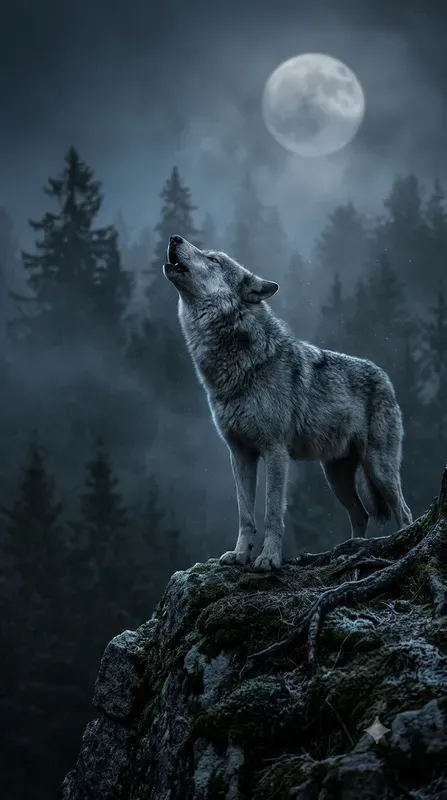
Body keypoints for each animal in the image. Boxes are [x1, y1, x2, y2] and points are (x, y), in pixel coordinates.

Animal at [163, 234, 413, 572]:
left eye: (214, 259)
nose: (174, 237)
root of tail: (385, 377)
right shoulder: (239, 454)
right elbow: (245, 514)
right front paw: (239, 555)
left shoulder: (275, 452)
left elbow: (272, 513)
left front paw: (269, 559)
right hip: (334, 476)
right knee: (360, 513)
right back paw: (350, 549)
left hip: (379, 468)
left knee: (404, 511)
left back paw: (398, 544)